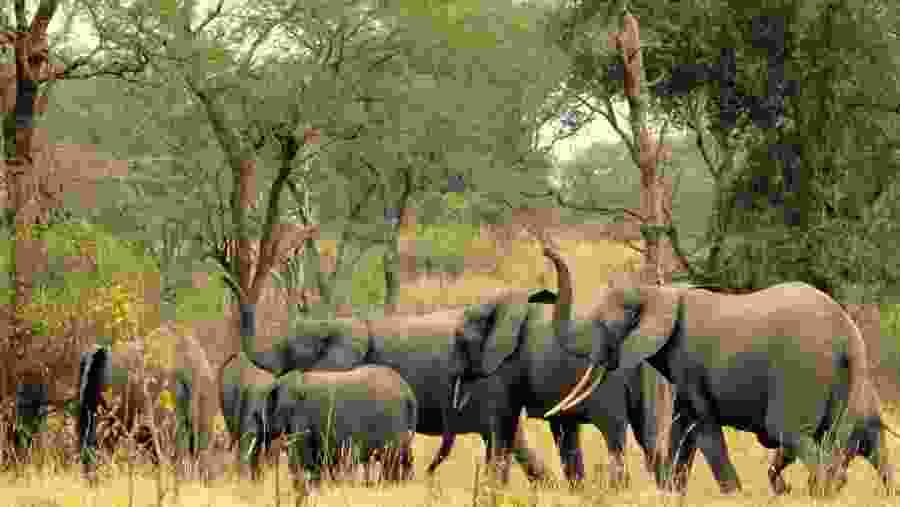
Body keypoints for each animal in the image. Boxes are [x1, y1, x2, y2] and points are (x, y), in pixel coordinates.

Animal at [256, 364, 417, 487]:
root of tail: (408, 393)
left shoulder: (300, 415)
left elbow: (301, 455)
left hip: (392, 420)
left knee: (392, 458)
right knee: (404, 457)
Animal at [445, 248, 668, 487]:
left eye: (460, 338)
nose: (545, 251)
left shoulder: (506, 365)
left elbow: (505, 422)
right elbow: (565, 434)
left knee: (615, 437)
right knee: (650, 439)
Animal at [543, 279, 896, 496]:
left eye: (604, 324)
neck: (659, 293)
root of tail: (848, 335)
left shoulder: (689, 363)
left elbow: (703, 428)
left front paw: (734, 495)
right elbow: (682, 429)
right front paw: (671, 492)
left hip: (802, 369)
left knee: (789, 433)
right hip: (849, 383)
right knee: (852, 443)